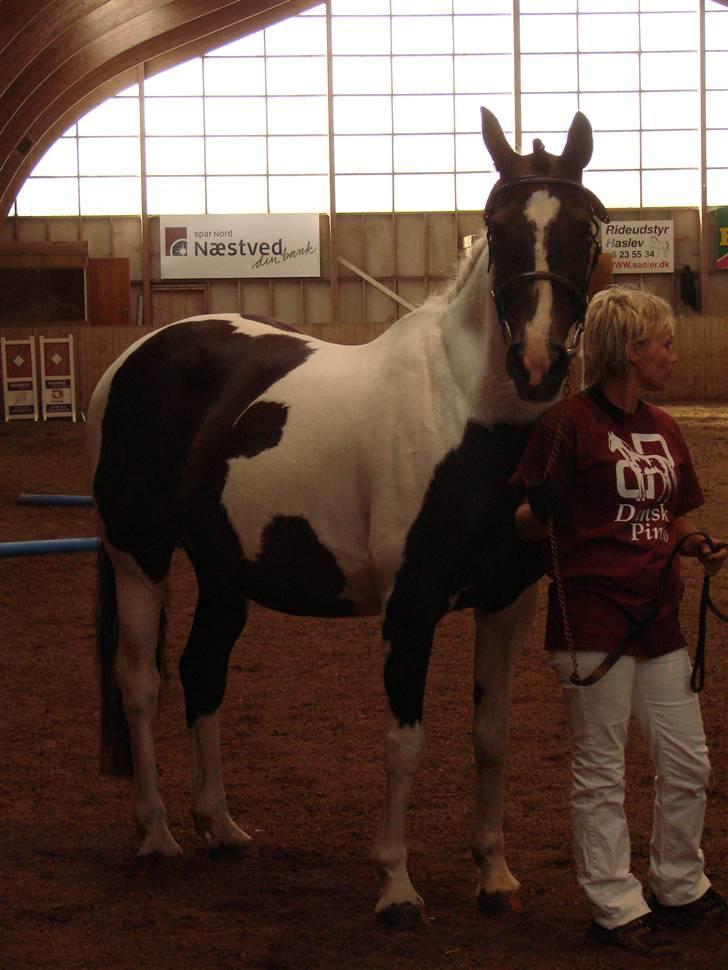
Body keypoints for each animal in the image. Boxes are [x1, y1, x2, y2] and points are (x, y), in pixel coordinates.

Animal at [88, 109, 608, 928]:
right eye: (496, 228)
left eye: (586, 226)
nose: (536, 363)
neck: (474, 420)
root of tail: (138, 354)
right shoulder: (410, 607)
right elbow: (404, 742)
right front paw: (395, 886)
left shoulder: (508, 605)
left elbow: (491, 736)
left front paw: (494, 875)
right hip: (137, 553)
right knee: (140, 683)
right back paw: (158, 835)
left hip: (223, 572)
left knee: (203, 672)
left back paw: (220, 827)